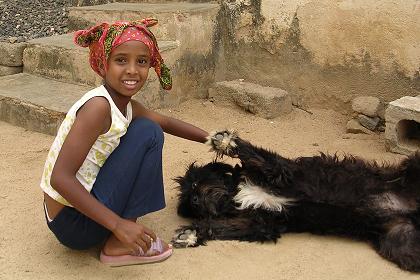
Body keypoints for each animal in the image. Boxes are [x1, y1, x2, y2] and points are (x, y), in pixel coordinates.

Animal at [171, 130, 420, 272]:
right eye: (190, 202)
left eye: (195, 184)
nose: (195, 200)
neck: (235, 193)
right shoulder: (262, 222)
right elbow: (224, 227)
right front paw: (192, 235)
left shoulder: (283, 173)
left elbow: (257, 156)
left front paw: (224, 141)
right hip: (401, 243)